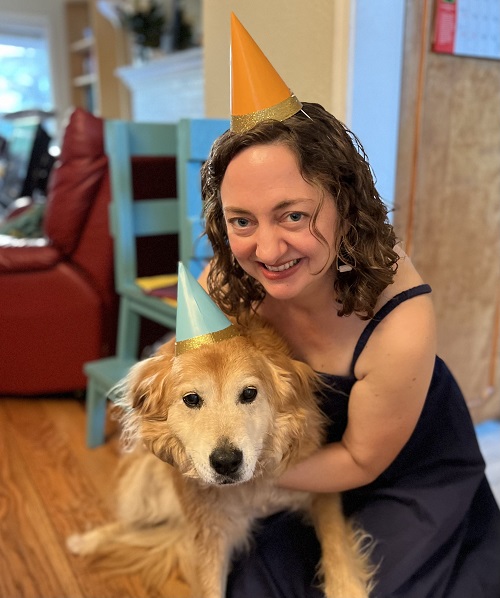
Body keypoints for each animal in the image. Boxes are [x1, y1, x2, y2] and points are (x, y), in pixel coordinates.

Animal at [69, 316, 376, 596]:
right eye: (191, 399)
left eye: (249, 393)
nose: (226, 462)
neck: (254, 490)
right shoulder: (211, 532)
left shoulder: (323, 489)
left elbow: (336, 545)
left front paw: (346, 587)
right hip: (148, 487)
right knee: (135, 523)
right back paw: (86, 540)